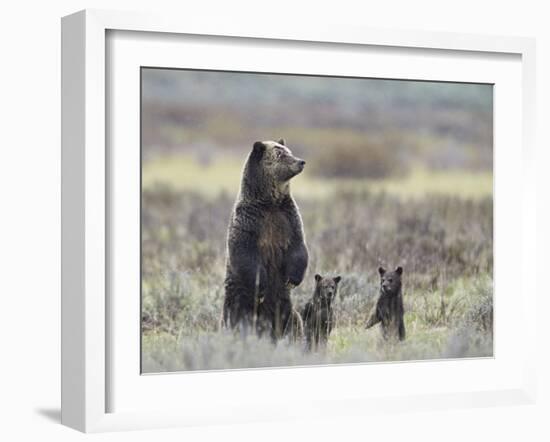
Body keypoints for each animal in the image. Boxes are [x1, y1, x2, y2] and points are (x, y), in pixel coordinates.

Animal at [224, 140, 310, 340]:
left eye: (289, 151)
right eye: (281, 155)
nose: (301, 161)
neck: (270, 203)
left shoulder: (288, 218)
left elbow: (298, 247)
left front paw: (292, 279)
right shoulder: (250, 221)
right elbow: (244, 252)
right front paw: (261, 285)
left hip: (284, 304)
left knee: (292, 321)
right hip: (238, 298)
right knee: (235, 318)